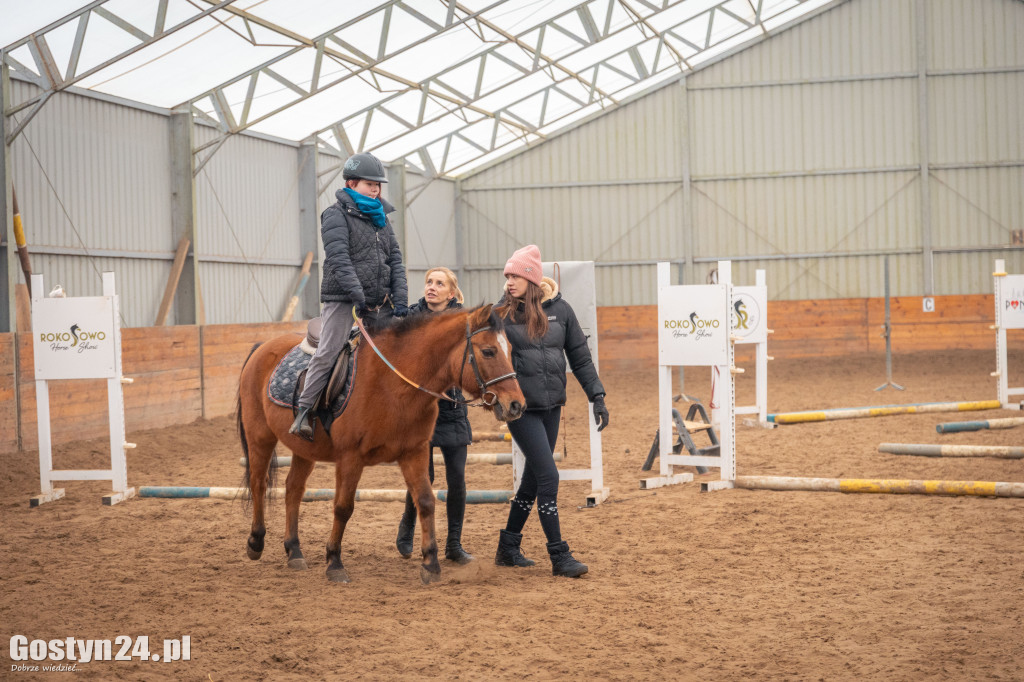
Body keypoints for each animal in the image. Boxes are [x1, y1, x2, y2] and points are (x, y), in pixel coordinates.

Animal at [235, 305, 524, 581]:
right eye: (488, 351)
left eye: (509, 349)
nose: (516, 405)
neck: (393, 384)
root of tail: (263, 346)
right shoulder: (350, 457)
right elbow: (343, 507)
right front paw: (334, 562)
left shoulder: (415, 452)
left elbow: (426, 501)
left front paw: (430, 564)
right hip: (260, 436)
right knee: (259, 483)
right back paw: (255, 542)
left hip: (304, 449)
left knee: (293, 489)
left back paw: (294, 551)